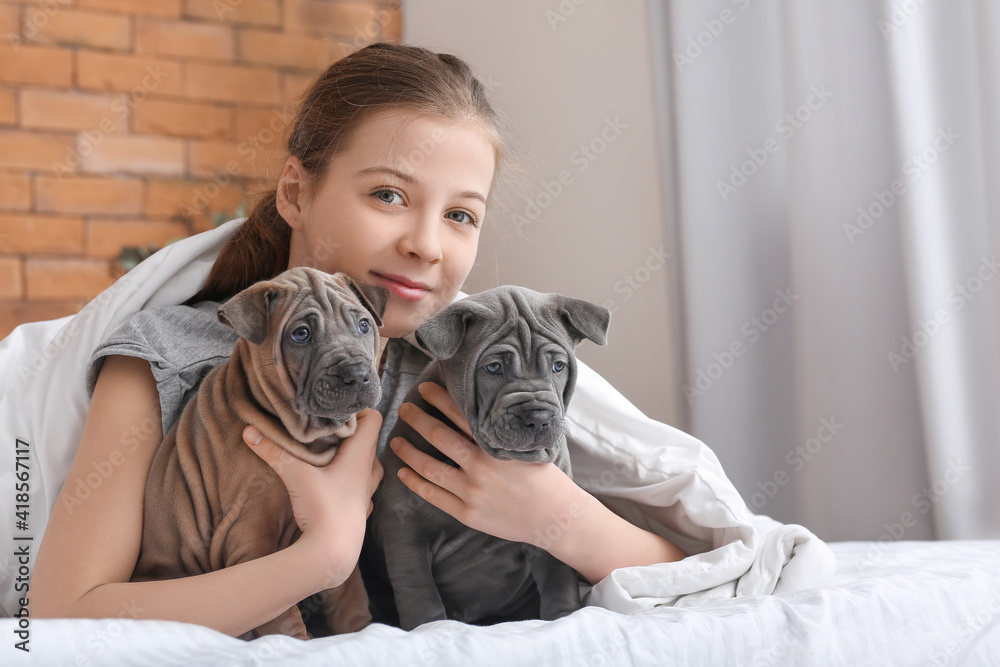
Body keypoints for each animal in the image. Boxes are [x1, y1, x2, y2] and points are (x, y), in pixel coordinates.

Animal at [129, 268, 386, 640]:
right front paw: (301, 643)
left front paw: (359, 630)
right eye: (301, 335)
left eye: (364, 326)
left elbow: (349, 590)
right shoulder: (248, 542)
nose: (357, 374)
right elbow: (284, 616)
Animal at [370, 288, 608, 632]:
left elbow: (558, 577)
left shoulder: (548, 527)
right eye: (493, 368)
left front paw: (564, 617)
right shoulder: (404, 525)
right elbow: (418, 589)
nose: (538, 417)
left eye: (559, 366)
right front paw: (428, 628)